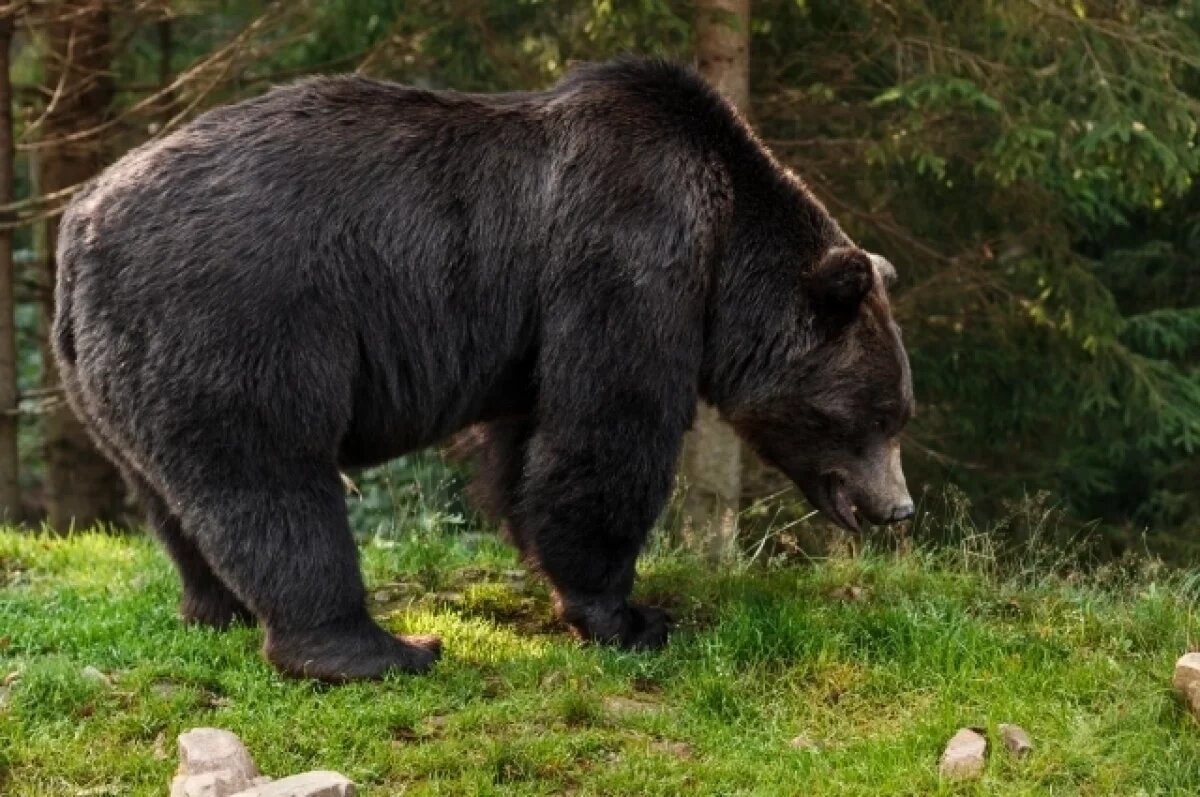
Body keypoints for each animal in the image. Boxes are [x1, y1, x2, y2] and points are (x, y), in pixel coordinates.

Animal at [53, 57, 915, 682]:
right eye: (878, 414)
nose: (898, 507)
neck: (724, 251)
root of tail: (79, 225)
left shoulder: (538, 334)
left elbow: (531, 447)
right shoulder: (629, 257)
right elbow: (608, 433)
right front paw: (632, 616)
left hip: (115, 370)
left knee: (171, 496)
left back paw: (216, 607)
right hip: (239, 317)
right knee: (273, 480)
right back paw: (379, 649)